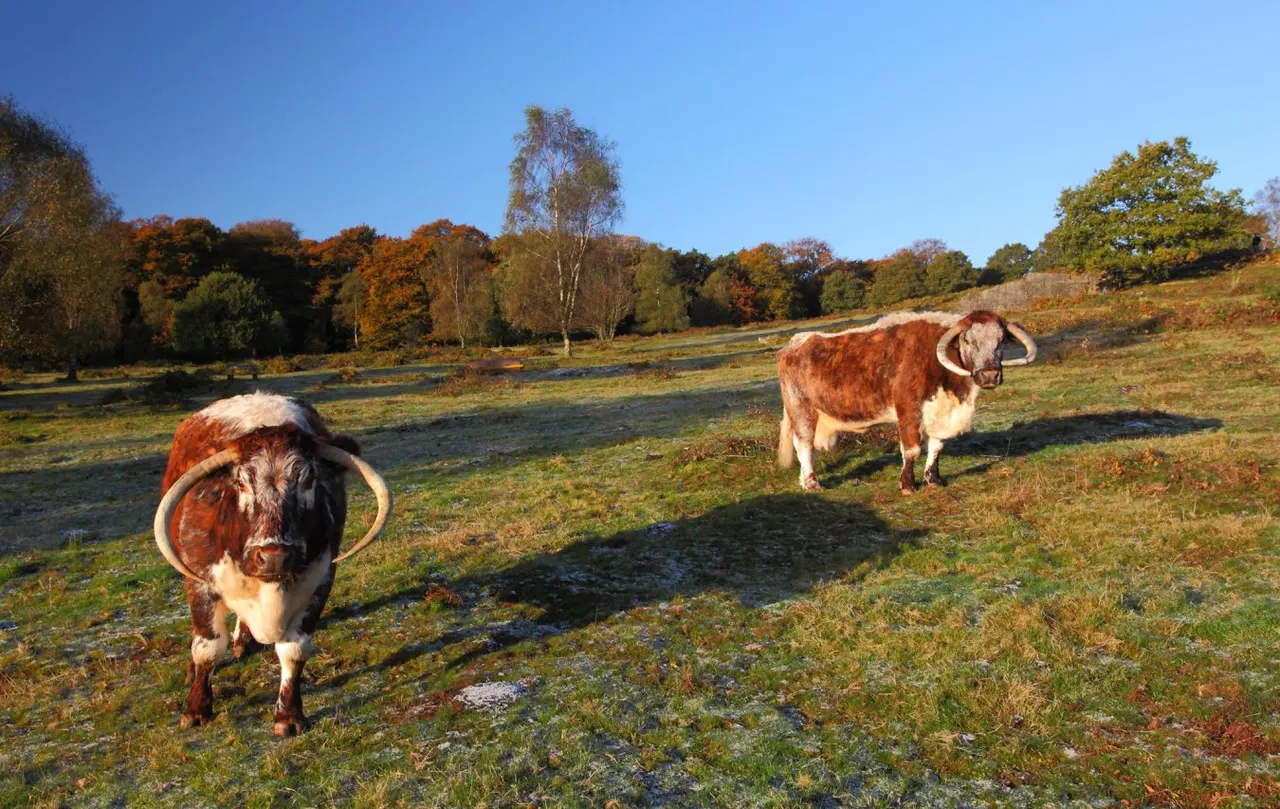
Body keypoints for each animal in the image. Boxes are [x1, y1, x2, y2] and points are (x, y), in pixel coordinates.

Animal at [152, 392, 392, 735]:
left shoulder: (320, 580)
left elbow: (294, 650)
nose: (274, 557)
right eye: (241, 483)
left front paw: (288, 715)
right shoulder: (200, 584)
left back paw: (243, 640)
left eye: (309, 480)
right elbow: (207, 648)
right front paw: (196, 708)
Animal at [777, 310, 1037, 493]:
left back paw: (804, 481)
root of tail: (794, 344)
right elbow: (911, 450)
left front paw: (933, 480)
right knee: (804, 445)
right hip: (802, 410)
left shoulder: (938, 413)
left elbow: (936, 447)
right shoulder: (908, 410)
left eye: (1000, 340)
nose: (990, 375)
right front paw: (908, 485)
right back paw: (813, 483)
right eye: (968, 340)